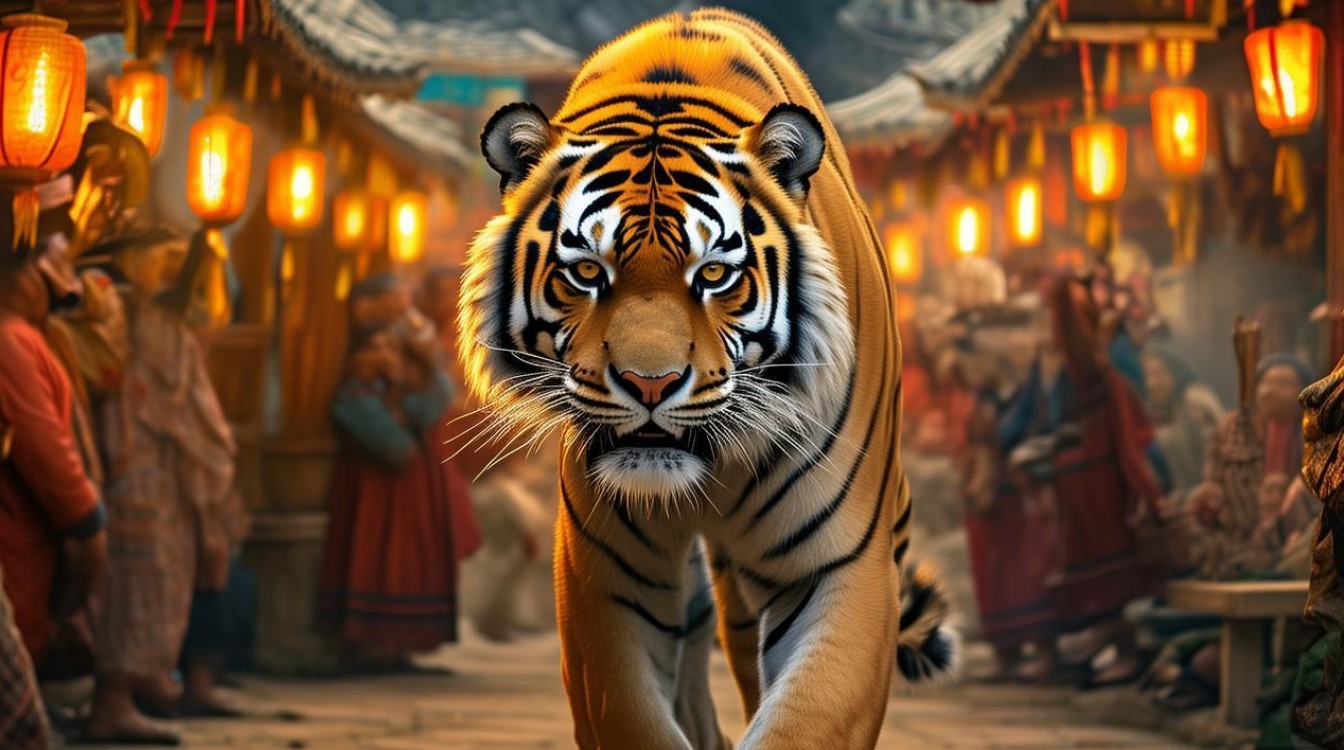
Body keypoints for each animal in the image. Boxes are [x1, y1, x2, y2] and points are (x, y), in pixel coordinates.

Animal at [457, 9, 956, 749]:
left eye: (714, 273)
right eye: (587, 272)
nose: (650, 384)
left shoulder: (841, 566)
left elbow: (805, 719)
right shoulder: (607, 575)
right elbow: (634, 715)